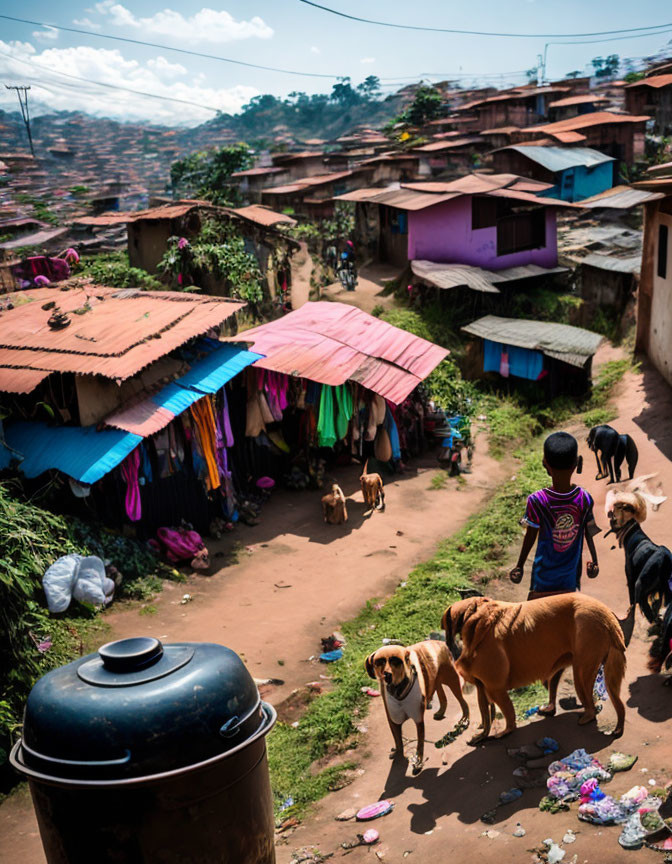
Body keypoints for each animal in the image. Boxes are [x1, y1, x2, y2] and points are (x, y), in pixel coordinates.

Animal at [368, 636, 468, 772]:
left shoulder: (418, 719)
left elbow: (420, 743)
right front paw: (398, 753)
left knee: (463, 701)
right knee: (442, 694)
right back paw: (441, 712)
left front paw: (418, 761)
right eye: (379, 662)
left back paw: (464, 719)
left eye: (396, 661)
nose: (387, 675)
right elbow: (398, 741)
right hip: (436, 678)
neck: (398, 691)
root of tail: (441, 642)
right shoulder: (393, 720)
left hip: (450, 678)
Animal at [444, 592, 628, 744]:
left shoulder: (494, 686)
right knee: (555, 684)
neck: (478, 615)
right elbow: (486, 713)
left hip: (584, 660)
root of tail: (610, 619)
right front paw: (481, 735)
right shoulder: (483, 685)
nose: (449, 645)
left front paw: (506, 732)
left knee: (588, 698)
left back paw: (588, 716)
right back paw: (551, 709)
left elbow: (508, 713)